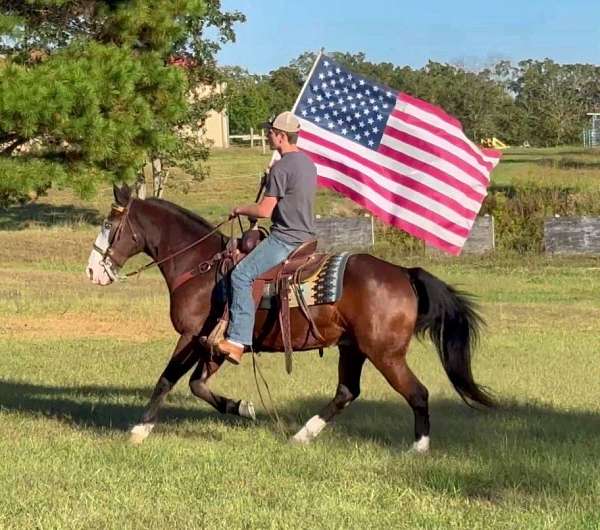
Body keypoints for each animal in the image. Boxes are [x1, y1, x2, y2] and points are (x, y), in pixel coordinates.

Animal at [88, 184, 492, 448]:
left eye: (110, 226)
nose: (92, 271)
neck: (201, 267)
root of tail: (404, 273)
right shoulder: (213, 344)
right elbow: (197, 385)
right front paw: (242, 407)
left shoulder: (191, 336)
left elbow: (167, 380)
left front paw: (139, 430)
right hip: (353, 348)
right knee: (347, 392)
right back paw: (302, 435)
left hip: (385, 353)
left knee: (417, 393)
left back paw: (418, 448)